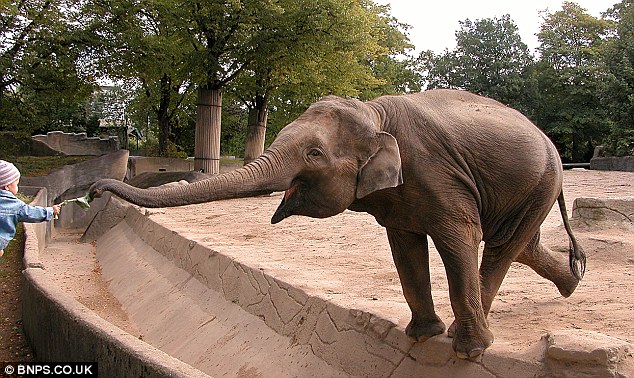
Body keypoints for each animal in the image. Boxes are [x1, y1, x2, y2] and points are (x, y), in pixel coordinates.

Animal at [89, 90, 584, 358]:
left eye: (313, 154)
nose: (93, 191)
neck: (374, 111)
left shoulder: (440, 177)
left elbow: (459, 239)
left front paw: (467, 351)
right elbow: (404, 247)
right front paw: (422, 336)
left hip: (541, 181)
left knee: (500, 246)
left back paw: (481, 330)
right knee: (519, 244)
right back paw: (572, 282)